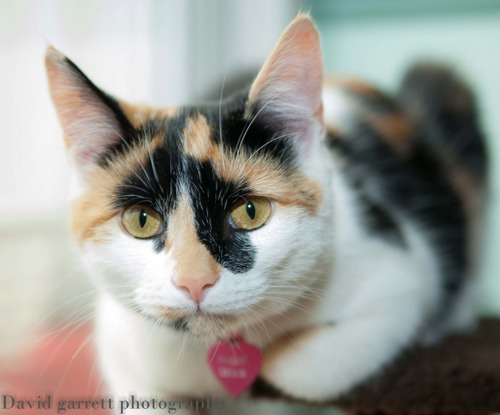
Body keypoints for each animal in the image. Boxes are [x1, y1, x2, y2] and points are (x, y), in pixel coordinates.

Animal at [45, 13, 486, 412]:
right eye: (141, 220)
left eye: (250, 211)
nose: (194, 282)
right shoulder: (122, 345)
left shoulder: (401, 279)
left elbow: (307, 369)